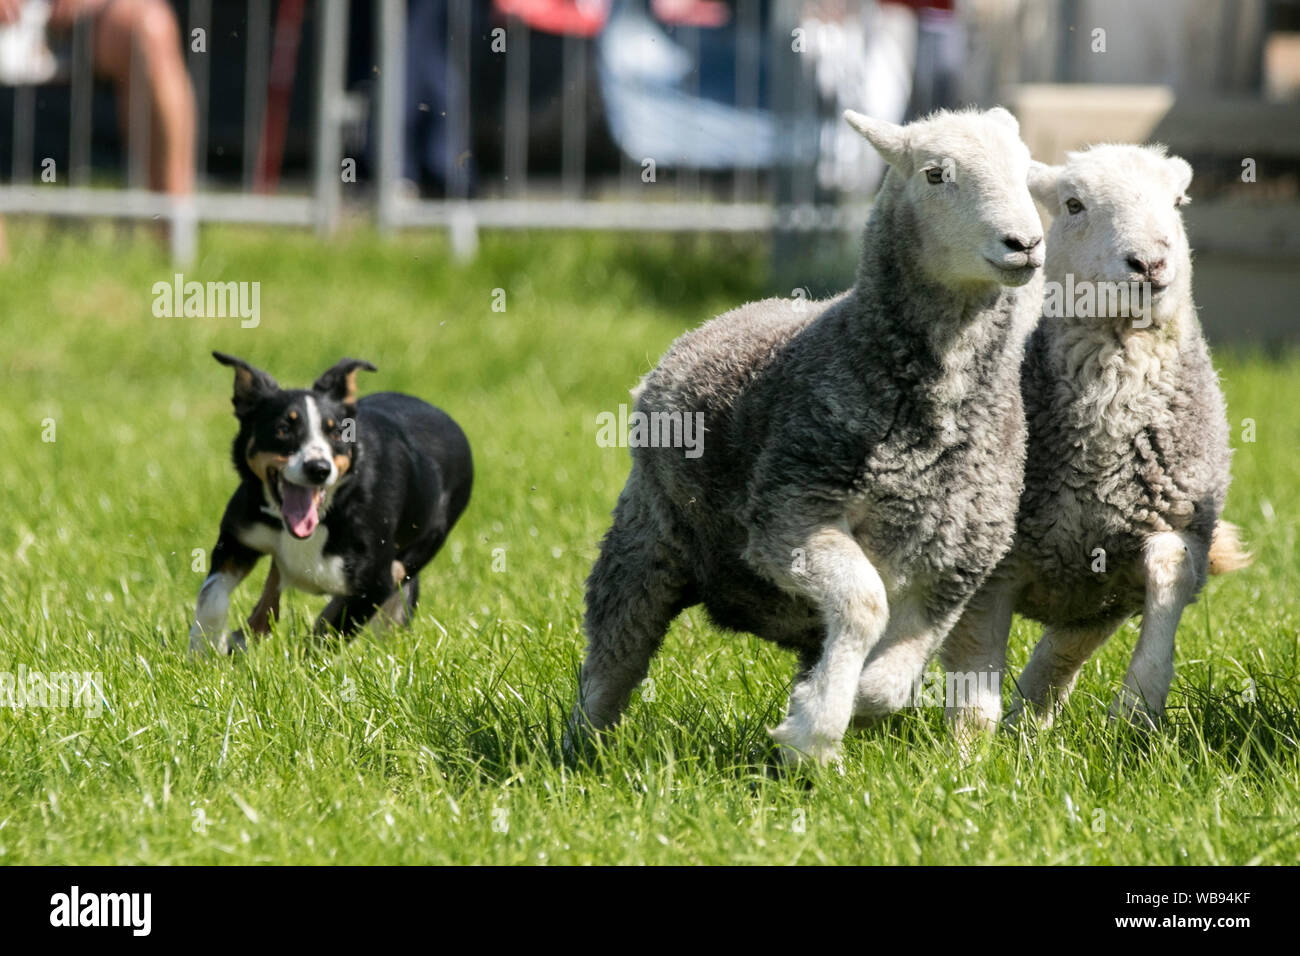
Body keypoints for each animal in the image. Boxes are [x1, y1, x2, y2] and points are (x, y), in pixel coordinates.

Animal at [188, 353, 473, 658]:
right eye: (283, 429)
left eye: (337, 433)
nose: (318, 468)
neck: (330, 512)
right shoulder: (238, 539)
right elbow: (211, 595)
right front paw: (204, 649)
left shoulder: (376, 581)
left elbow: (330, 631)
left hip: (420, 548)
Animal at [569, 108, 1045, 764]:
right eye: (935, 174)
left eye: (1027, 171)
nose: (1025, 244)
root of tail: (719, 318)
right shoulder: (793, 511)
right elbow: (865, 605)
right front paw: (814, 730)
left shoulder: (960, 559)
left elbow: (893, 676)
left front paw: (843, 703)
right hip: (644, 540)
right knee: (613, 658)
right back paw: (580, 752)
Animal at [941, 143, 1253, 733]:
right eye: (1073, 204)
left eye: (1177, 201)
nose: (1150, 264)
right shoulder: (993, 560)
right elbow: (975, 662)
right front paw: (968, 750)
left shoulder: (1170, 526)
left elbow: (1168, 572)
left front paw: (1137, 707)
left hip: (1091, 595)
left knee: (1059, 653)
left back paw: (1031, 723)